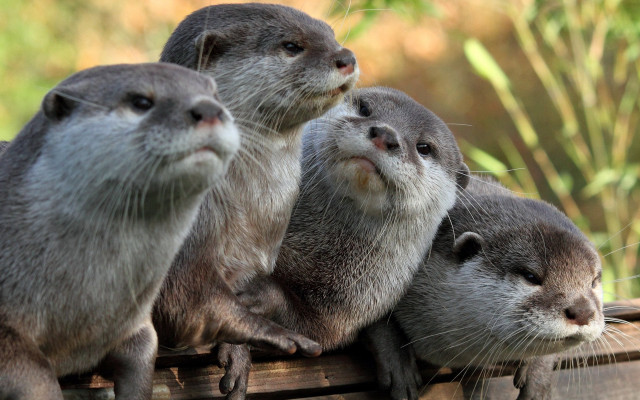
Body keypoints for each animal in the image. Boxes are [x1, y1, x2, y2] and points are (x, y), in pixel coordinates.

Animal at [0, 63, 239, 399]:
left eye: (215, 94)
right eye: (141, 102)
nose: (209, 109)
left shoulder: (134, 323)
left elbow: (142, 354)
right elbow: (35, 376)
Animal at [153, 3, 359, 396]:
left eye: (331, 35)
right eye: (291, 45)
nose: (347, 57)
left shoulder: (251, 260)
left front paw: (237, 352)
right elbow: (182, 301)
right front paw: (274, 333)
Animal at [238, 87, 470, 352]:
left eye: (424, 147)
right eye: (365, 109)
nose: (385, 134)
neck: (316, 249)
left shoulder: (345, 312)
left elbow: (313, 330)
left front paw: (258, 292)